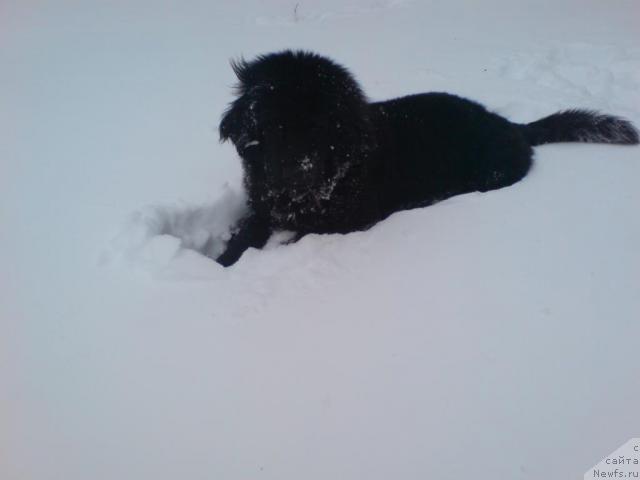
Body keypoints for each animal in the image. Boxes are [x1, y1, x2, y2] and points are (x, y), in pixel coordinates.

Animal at [218, 49, 636, 266]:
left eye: (320, 129)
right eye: (273, 126)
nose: (293, 172)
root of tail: (511, 126)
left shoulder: (347, 223)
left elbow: (297, 239)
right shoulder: (263, 203)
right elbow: (246, 232)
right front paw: (223, 260)